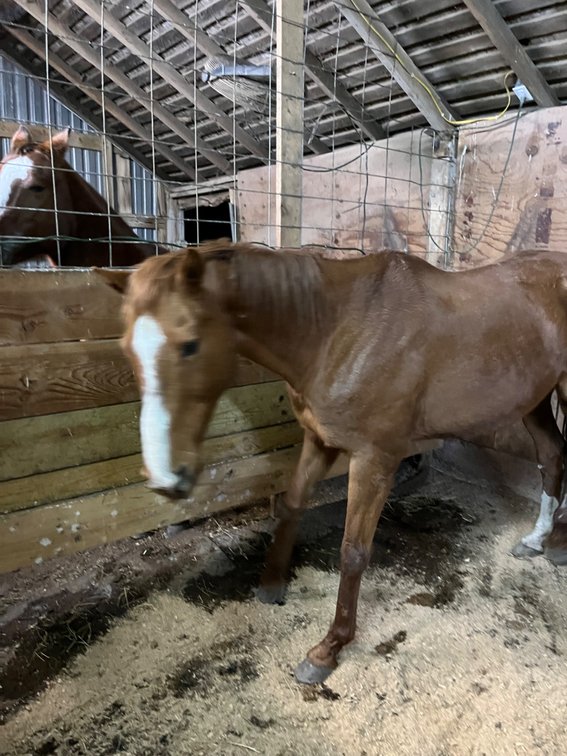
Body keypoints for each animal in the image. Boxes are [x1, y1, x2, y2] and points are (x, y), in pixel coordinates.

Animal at [96, 240, 567, 684]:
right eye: (126, 348)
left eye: (189, 344)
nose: (164, 478)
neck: (336, 331)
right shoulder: (319, 441)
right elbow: (291, 505)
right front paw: (271, 583)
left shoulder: (374, 460)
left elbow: (353, 551)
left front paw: (328, 648)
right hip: (536, 401)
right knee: (553, 456)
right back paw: (537, 539)